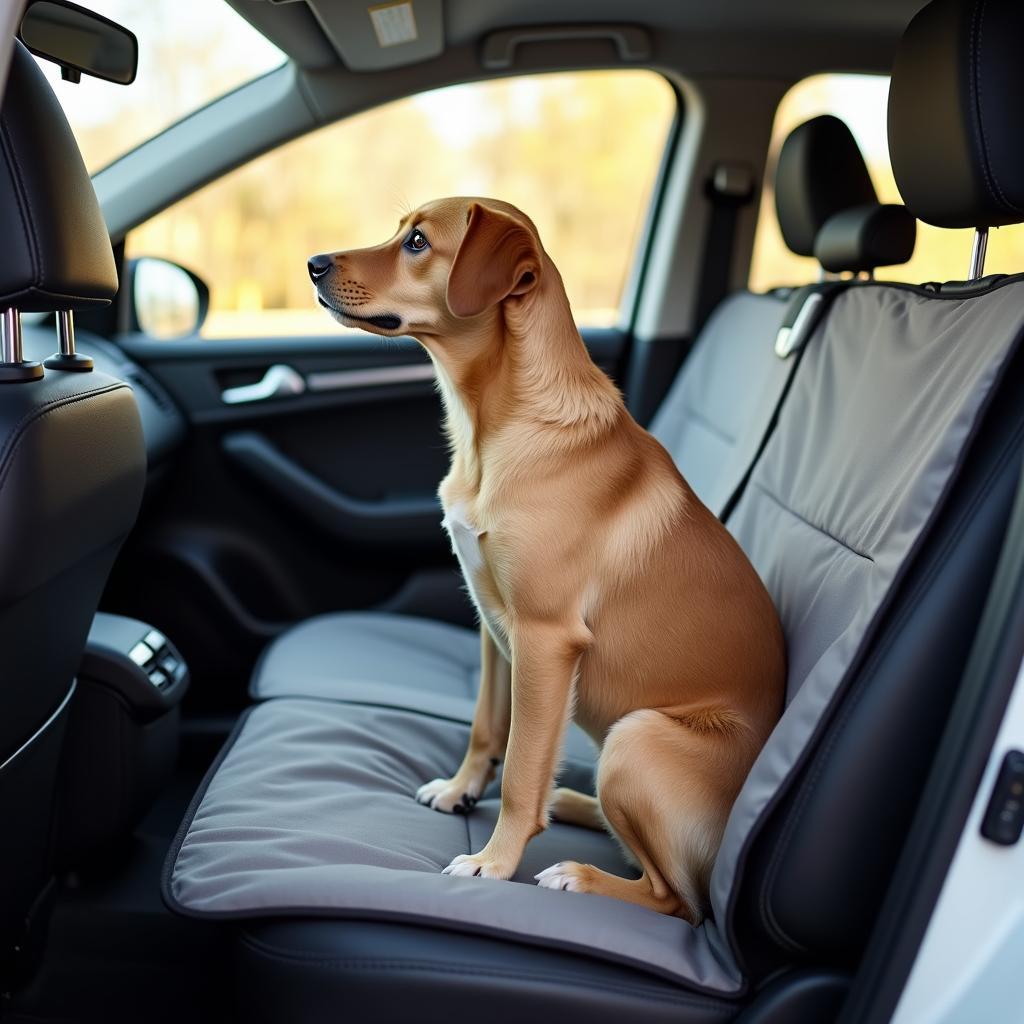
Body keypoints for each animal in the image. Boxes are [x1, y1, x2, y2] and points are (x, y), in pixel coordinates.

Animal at [303, 197, 782, 921]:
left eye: (417, 242)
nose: (313, 264)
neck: (497, 428)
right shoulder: (495, 628)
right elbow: (486, 727)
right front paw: (461, 790)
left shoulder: (546, 639)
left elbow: (523, 764)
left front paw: (492, 863)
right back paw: (573, 802)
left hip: (635, 740)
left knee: (675, 899)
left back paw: (580, 876)